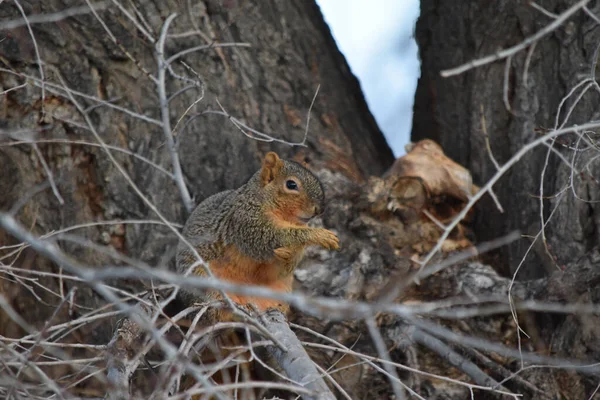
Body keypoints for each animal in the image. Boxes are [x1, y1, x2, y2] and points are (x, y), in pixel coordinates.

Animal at [176, 152, 340, 320]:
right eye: (291, 185)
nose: (319, 210)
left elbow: (276, 271)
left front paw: (287, 255)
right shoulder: (245, 221)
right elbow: (267, 237)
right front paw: (319, 235)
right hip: (201, 279)